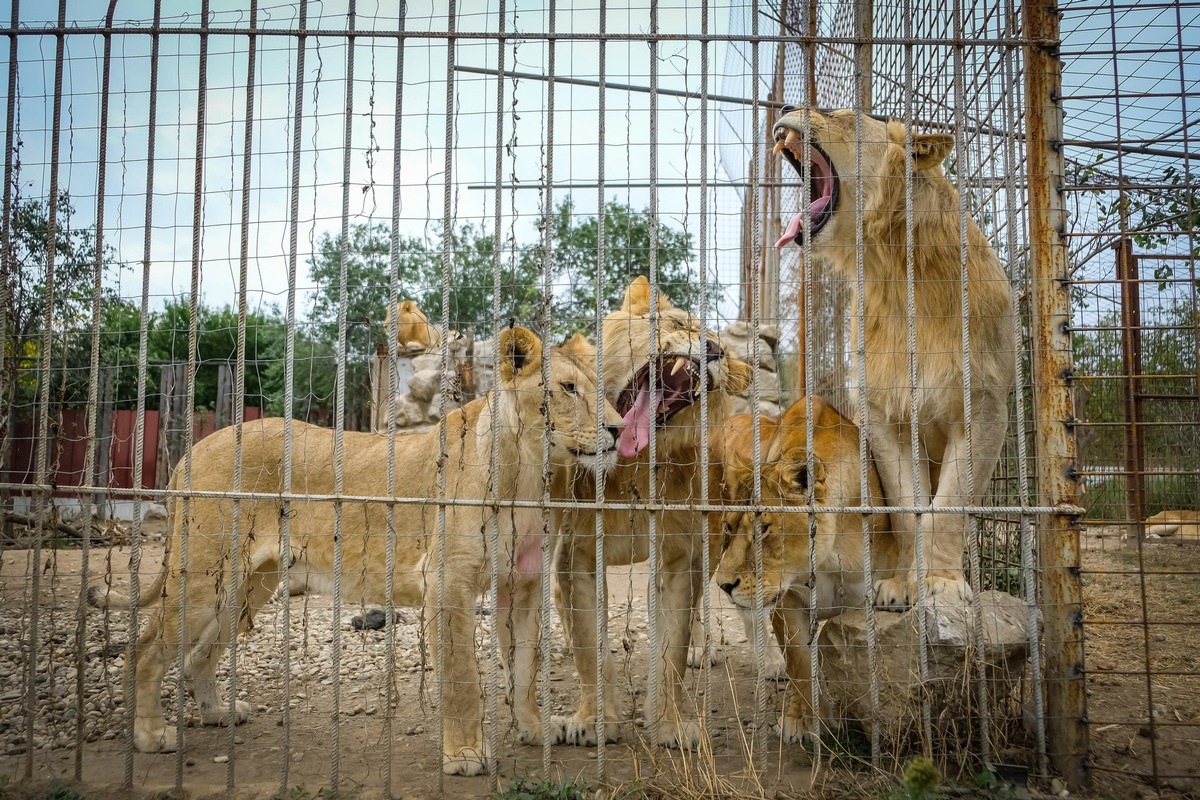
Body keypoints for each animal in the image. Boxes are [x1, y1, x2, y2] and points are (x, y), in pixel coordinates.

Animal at [88, 326, 624, 777]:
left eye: (603, 390)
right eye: (569, 389)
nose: (619, 429)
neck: (532, 470)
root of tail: (191, 453)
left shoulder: (523, 585)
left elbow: (524, 666)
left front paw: (534, 729)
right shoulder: (447, 583)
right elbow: (463, 679)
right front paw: (467, 755)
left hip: (247, 583)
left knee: (198, 654)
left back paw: (218, 712)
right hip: (202, 575)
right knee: (143, 650)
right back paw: (151, 736)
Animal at [549, 275, 748, 753]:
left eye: (722, 350)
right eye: (678, 324)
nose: (714, 349)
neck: (633, 467)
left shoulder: (679, 556)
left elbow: (672, 646)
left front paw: (669, 726)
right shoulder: (576, 557)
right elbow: (589, 646)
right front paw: (592, 721)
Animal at [705, 398, 897, 743]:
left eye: (763, 529)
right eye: (730, 526)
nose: (725, 585)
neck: (829, 557)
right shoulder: (787, 603)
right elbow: (800, 665)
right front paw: (811, 722)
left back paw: (769, 662)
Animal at [772, 106, 1017, 606]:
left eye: (841, 115)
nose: (785, 110)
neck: (894, 271)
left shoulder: (983, 408)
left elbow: (949, 507)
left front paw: (942, 583)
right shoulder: (885, 414)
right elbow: (908, 510)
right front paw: (905, 583)